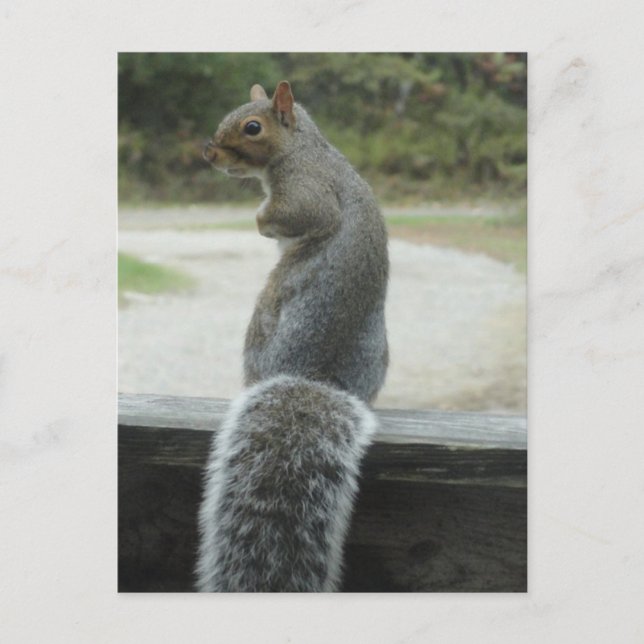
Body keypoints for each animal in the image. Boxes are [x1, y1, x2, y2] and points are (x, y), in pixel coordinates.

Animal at [196, 81, 388, 592]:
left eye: (253, 127)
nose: (209, 152)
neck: (303, 147)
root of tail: (314, 373)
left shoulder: (306, 189)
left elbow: (300, 215)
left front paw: (262, 220)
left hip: (263, 320)